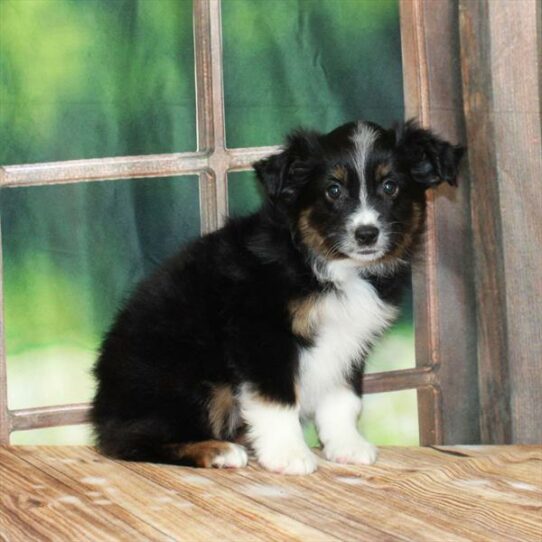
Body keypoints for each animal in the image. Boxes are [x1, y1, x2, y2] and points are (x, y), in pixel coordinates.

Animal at [91, 120, 466, 476]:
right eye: (333, 190)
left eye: (390, 186)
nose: (366, 234)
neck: (321, 262)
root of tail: (101, 409)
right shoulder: (261, 332)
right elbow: (277, 399)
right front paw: (288, 455)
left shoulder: (348, 338)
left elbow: (343, 396)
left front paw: (346, 445)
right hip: (187, 374)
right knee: (130, 441)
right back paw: (217, 450)